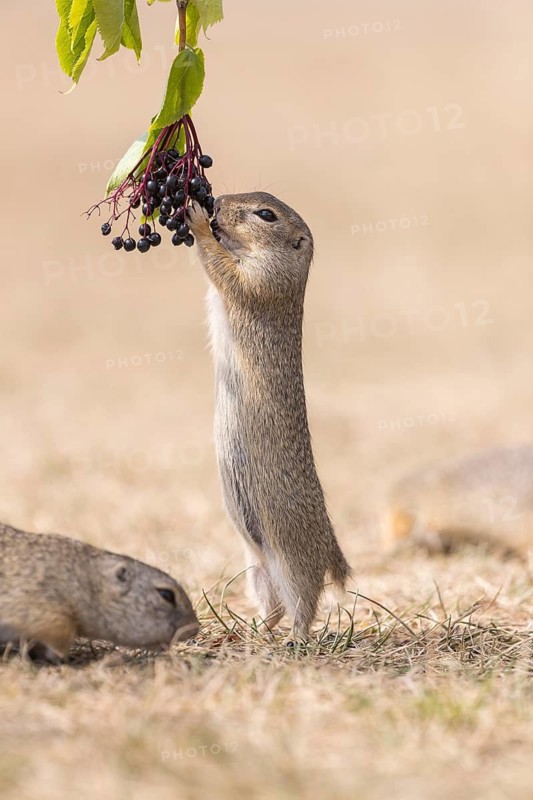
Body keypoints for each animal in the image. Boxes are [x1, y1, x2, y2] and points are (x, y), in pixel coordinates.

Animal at [187, 193, 352, 640]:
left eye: (266, 215)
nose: (217, 202)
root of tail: (330, 549)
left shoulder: (263, 280)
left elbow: (222, 269)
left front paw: (197, 219)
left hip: (294, 561)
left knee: (305, 605)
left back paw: (296, 638)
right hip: (258, 570)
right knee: (274, 606)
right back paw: (251, 630)